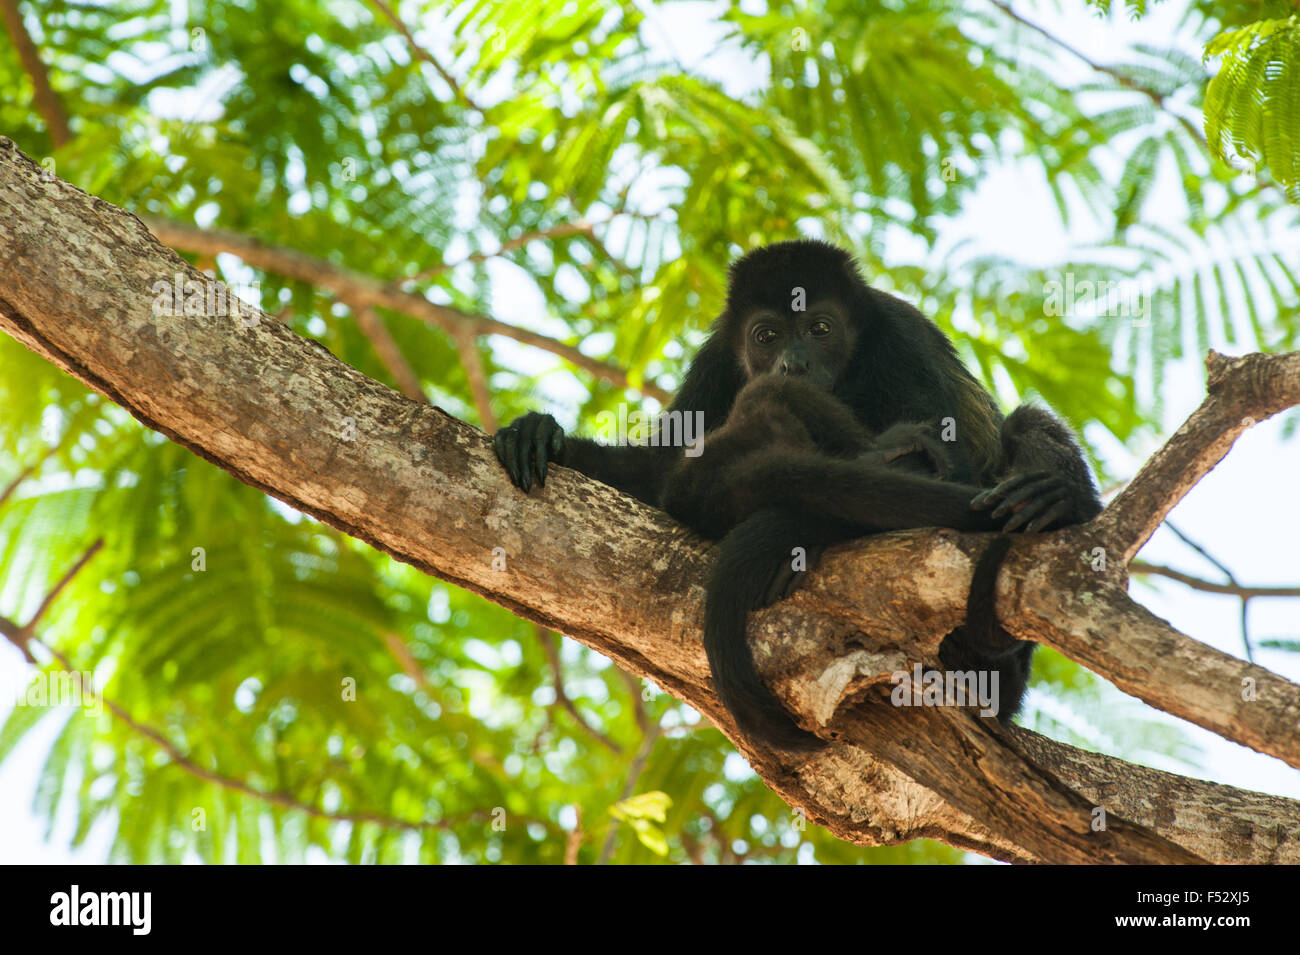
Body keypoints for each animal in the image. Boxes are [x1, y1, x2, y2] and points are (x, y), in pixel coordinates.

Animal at [491, 237, 1102, 748]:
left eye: (820, 330)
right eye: (767, 336)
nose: (794, 364)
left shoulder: (900, 338)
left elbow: (952, 464)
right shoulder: (717, 357)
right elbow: (659, 471)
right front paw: (544, 437)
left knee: (1024, 425)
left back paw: (1052, 498)